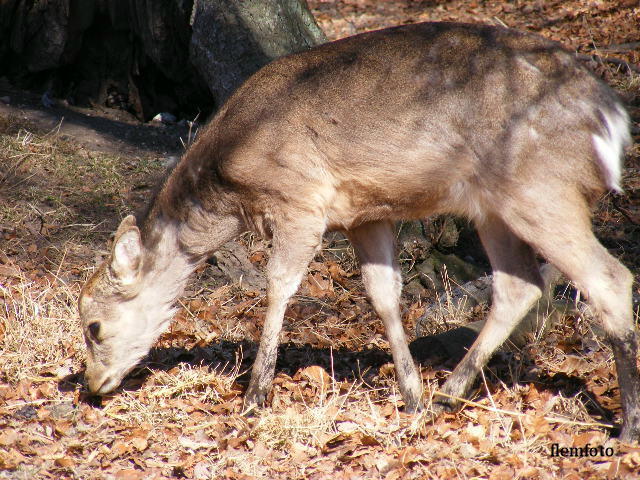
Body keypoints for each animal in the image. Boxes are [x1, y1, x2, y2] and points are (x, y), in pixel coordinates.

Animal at [79, 22, 640, 442]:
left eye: (93, 327)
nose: (92, 385)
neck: (232, 173)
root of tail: (610, 114)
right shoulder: (365, 213)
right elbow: (384, 295)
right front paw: (411, 395)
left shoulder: (299, 198)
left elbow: (278, 287)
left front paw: (256, 396)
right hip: (495, 206)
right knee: (519, 283)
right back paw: (445, 395)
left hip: (540, 187)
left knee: (610, 278)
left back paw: (626, 428)